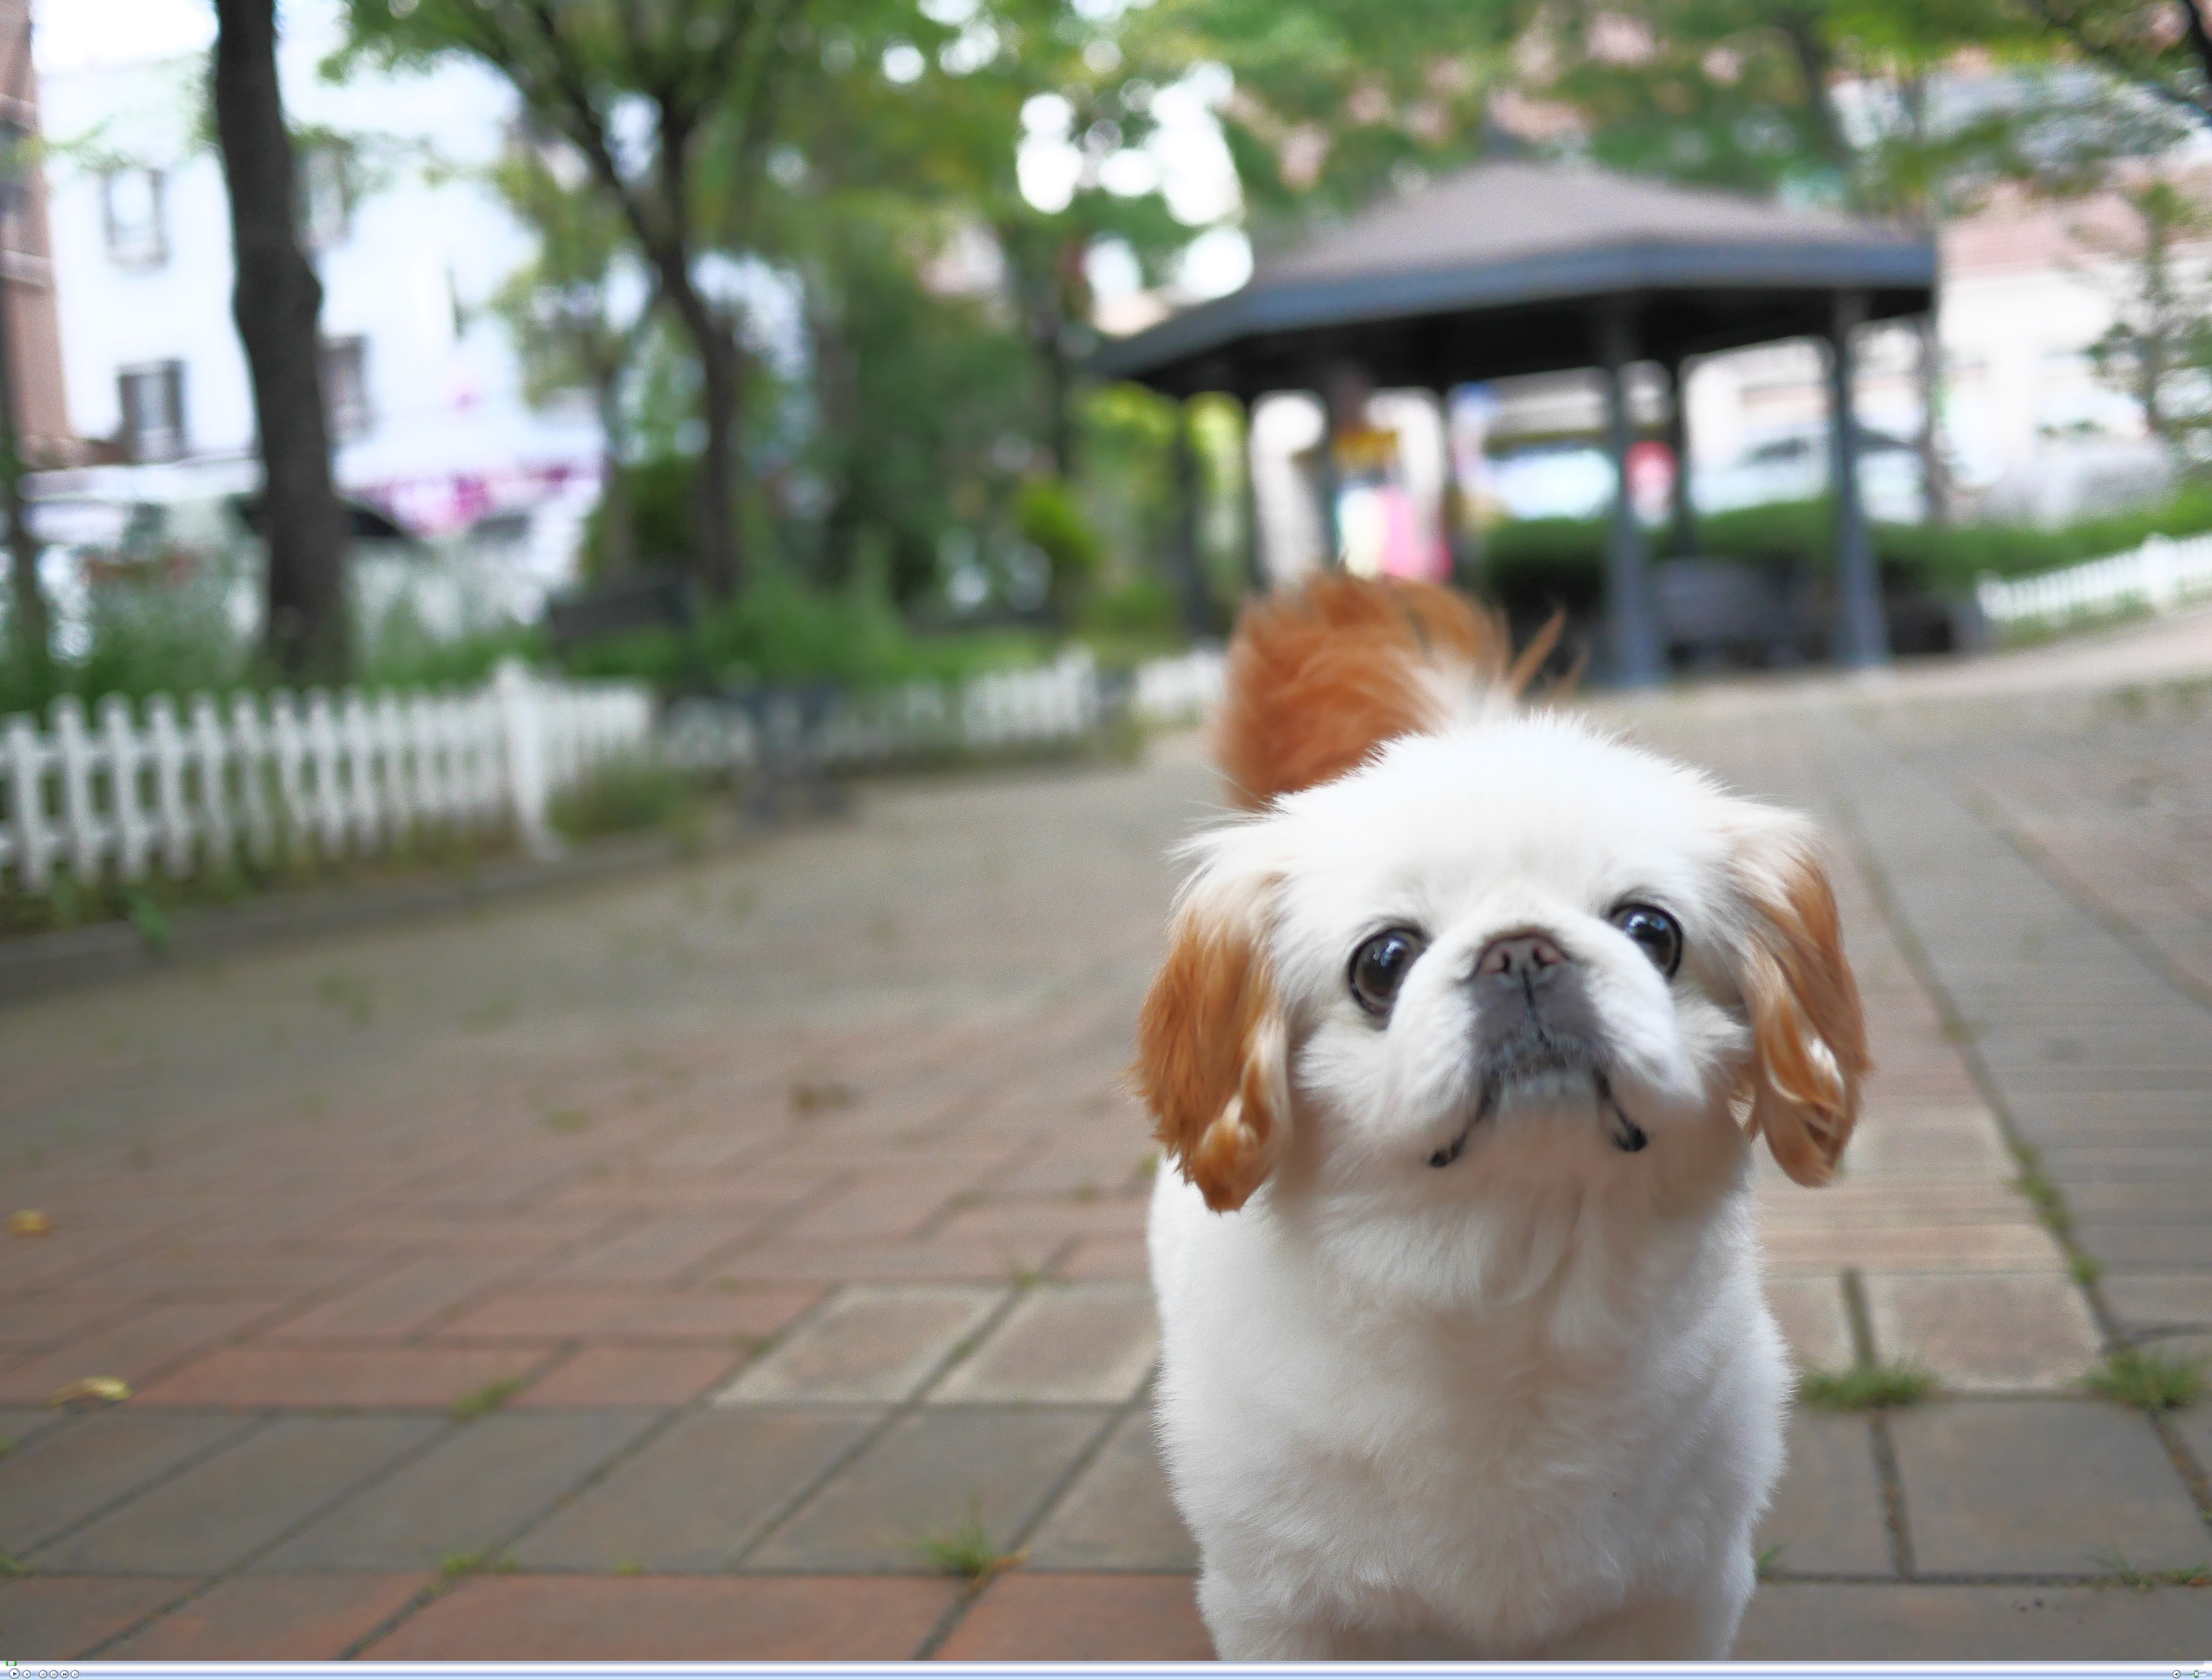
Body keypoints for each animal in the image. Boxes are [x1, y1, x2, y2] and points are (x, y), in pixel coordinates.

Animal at [1137, 575, 1866, 1661]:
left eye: (1651, 930)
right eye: (1383, 962)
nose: (1521, 949)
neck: (1507, 1288)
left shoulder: (1679, 1595)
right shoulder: (1282, 1610)